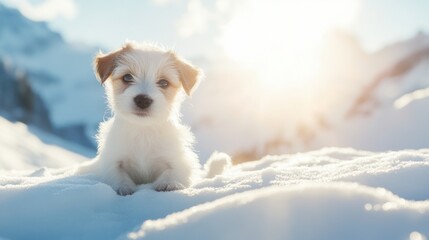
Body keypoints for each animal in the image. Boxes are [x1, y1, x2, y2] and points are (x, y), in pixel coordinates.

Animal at [79, 41, 204, 195]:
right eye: (127, 77)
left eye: (163, 82)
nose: (143, 100)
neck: (143, 130)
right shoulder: (111, 160)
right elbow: (116, 174)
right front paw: (124, 186)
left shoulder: (181, 162)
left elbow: (173, 172)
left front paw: (169, 183)